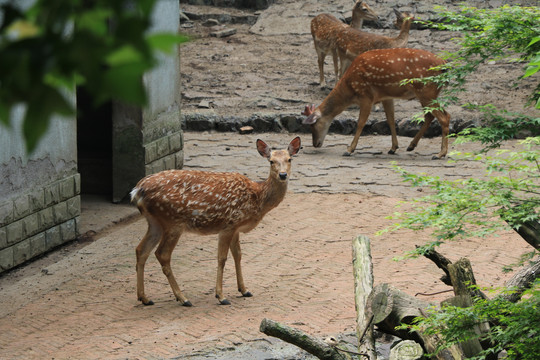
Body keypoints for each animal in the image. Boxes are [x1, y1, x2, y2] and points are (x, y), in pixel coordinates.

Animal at [129, 136, 302, 306]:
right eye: (271, 161)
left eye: (289, 159)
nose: (282, 175)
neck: (257, 198)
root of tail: (137, 190)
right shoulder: (228, 224)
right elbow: (222, 258)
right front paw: (221, 296)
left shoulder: (236, 228)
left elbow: (238, 255)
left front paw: (244, 290)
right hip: (173, 221)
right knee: (162, 254)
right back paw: (183, 298)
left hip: (155, 222)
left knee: (141, 250)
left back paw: (144, 298)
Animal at [304, 47, 452, 159]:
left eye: (313, 125)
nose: (315, 144)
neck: (350, 87)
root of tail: (444, 65)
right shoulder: (386, 97)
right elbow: (390, 120)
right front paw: (393, 148)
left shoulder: (366, 96)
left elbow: (361, 122)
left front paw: (349, 149)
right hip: (426, 93)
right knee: (431, 116)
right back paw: (411, 146)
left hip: (426, 91)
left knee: (444, 117)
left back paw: (440, 154)